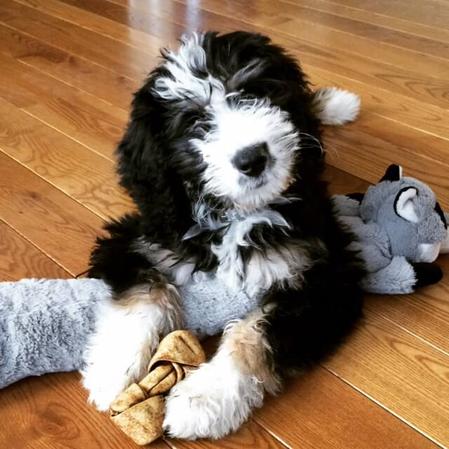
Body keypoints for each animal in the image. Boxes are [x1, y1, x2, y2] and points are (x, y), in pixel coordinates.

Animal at [83, 30, 364, 438]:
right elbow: (144, 295)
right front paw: (111, 371)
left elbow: (255, 334)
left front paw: (204, 399)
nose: (253, 158)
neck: (236, 214)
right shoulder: (140, 238)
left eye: (255, 92)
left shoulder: (327, 274)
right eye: (195, 122)